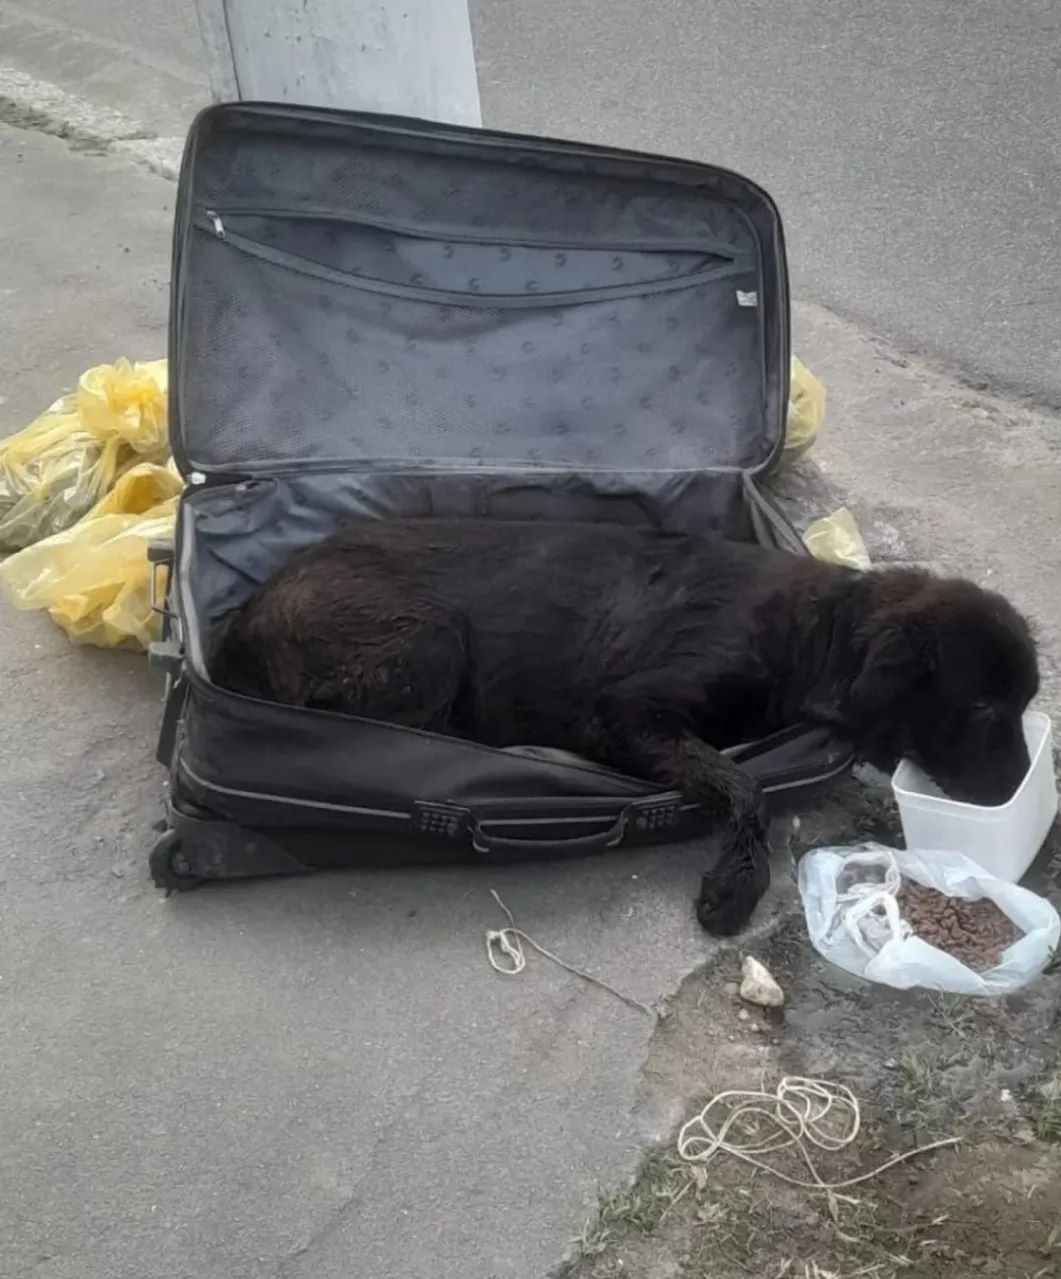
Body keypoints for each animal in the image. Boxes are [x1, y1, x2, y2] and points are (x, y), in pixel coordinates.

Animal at [213, 516, 1037, 931]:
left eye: (1026, 702)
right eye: (986, 708)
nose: (1025, 789)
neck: (817, 635)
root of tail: (242, 619)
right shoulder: (625, 710)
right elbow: (744, 785)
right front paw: (736, 886)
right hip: (430, 638)